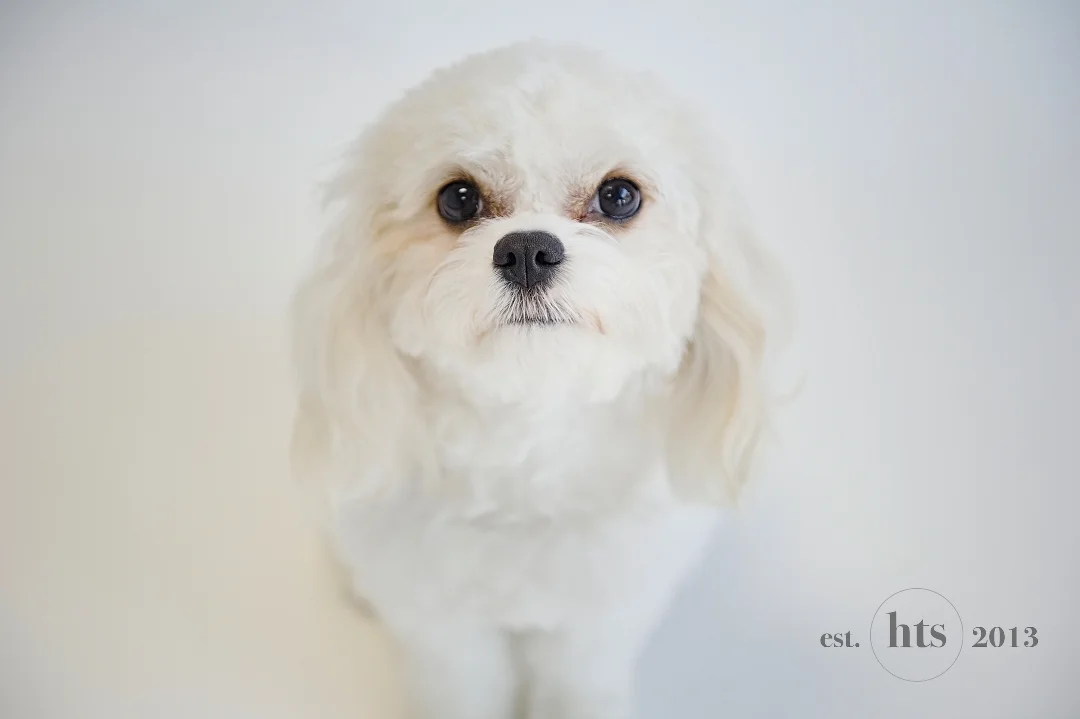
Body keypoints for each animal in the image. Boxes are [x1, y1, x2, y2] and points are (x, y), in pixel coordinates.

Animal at [291, 41, 783, 719]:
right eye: (458, 198)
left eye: (619, 196)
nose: (526, 250)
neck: (526, 462)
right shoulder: (443, 627)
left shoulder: (596, 619)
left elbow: (577, 681)